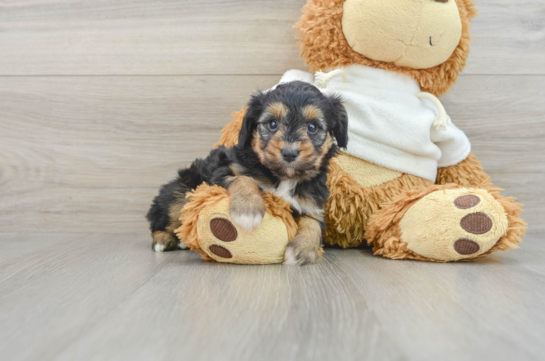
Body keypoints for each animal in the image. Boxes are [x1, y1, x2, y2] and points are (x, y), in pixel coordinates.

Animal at [147, 80, 346, 262]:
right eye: (272, 124)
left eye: (312, 127)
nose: (289, 153)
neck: (283, 177)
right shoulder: (224, 170)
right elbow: (243, 179)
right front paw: (248, 210)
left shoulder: (312, 203)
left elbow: (313, 223)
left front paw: (302, 251)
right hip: (179, 191)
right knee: (161, 221)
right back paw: (164, 241)